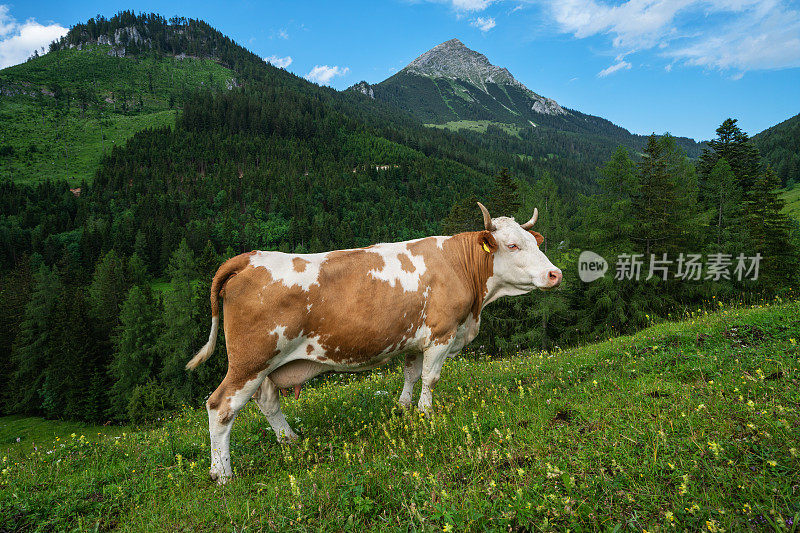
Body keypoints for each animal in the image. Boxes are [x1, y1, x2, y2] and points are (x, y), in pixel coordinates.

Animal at [188, 203, 564, 482]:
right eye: (513, 245)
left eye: (536, 243)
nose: (555, 274)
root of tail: (248, 258)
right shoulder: (440, 333)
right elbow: (431, 378)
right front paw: (427, 413)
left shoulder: (414, 339)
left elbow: (411, 375)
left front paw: (404, 408)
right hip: (250, 361)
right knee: (221, 407)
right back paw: (222, 474)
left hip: (264, 366)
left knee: (267, 402)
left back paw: (290, 440)